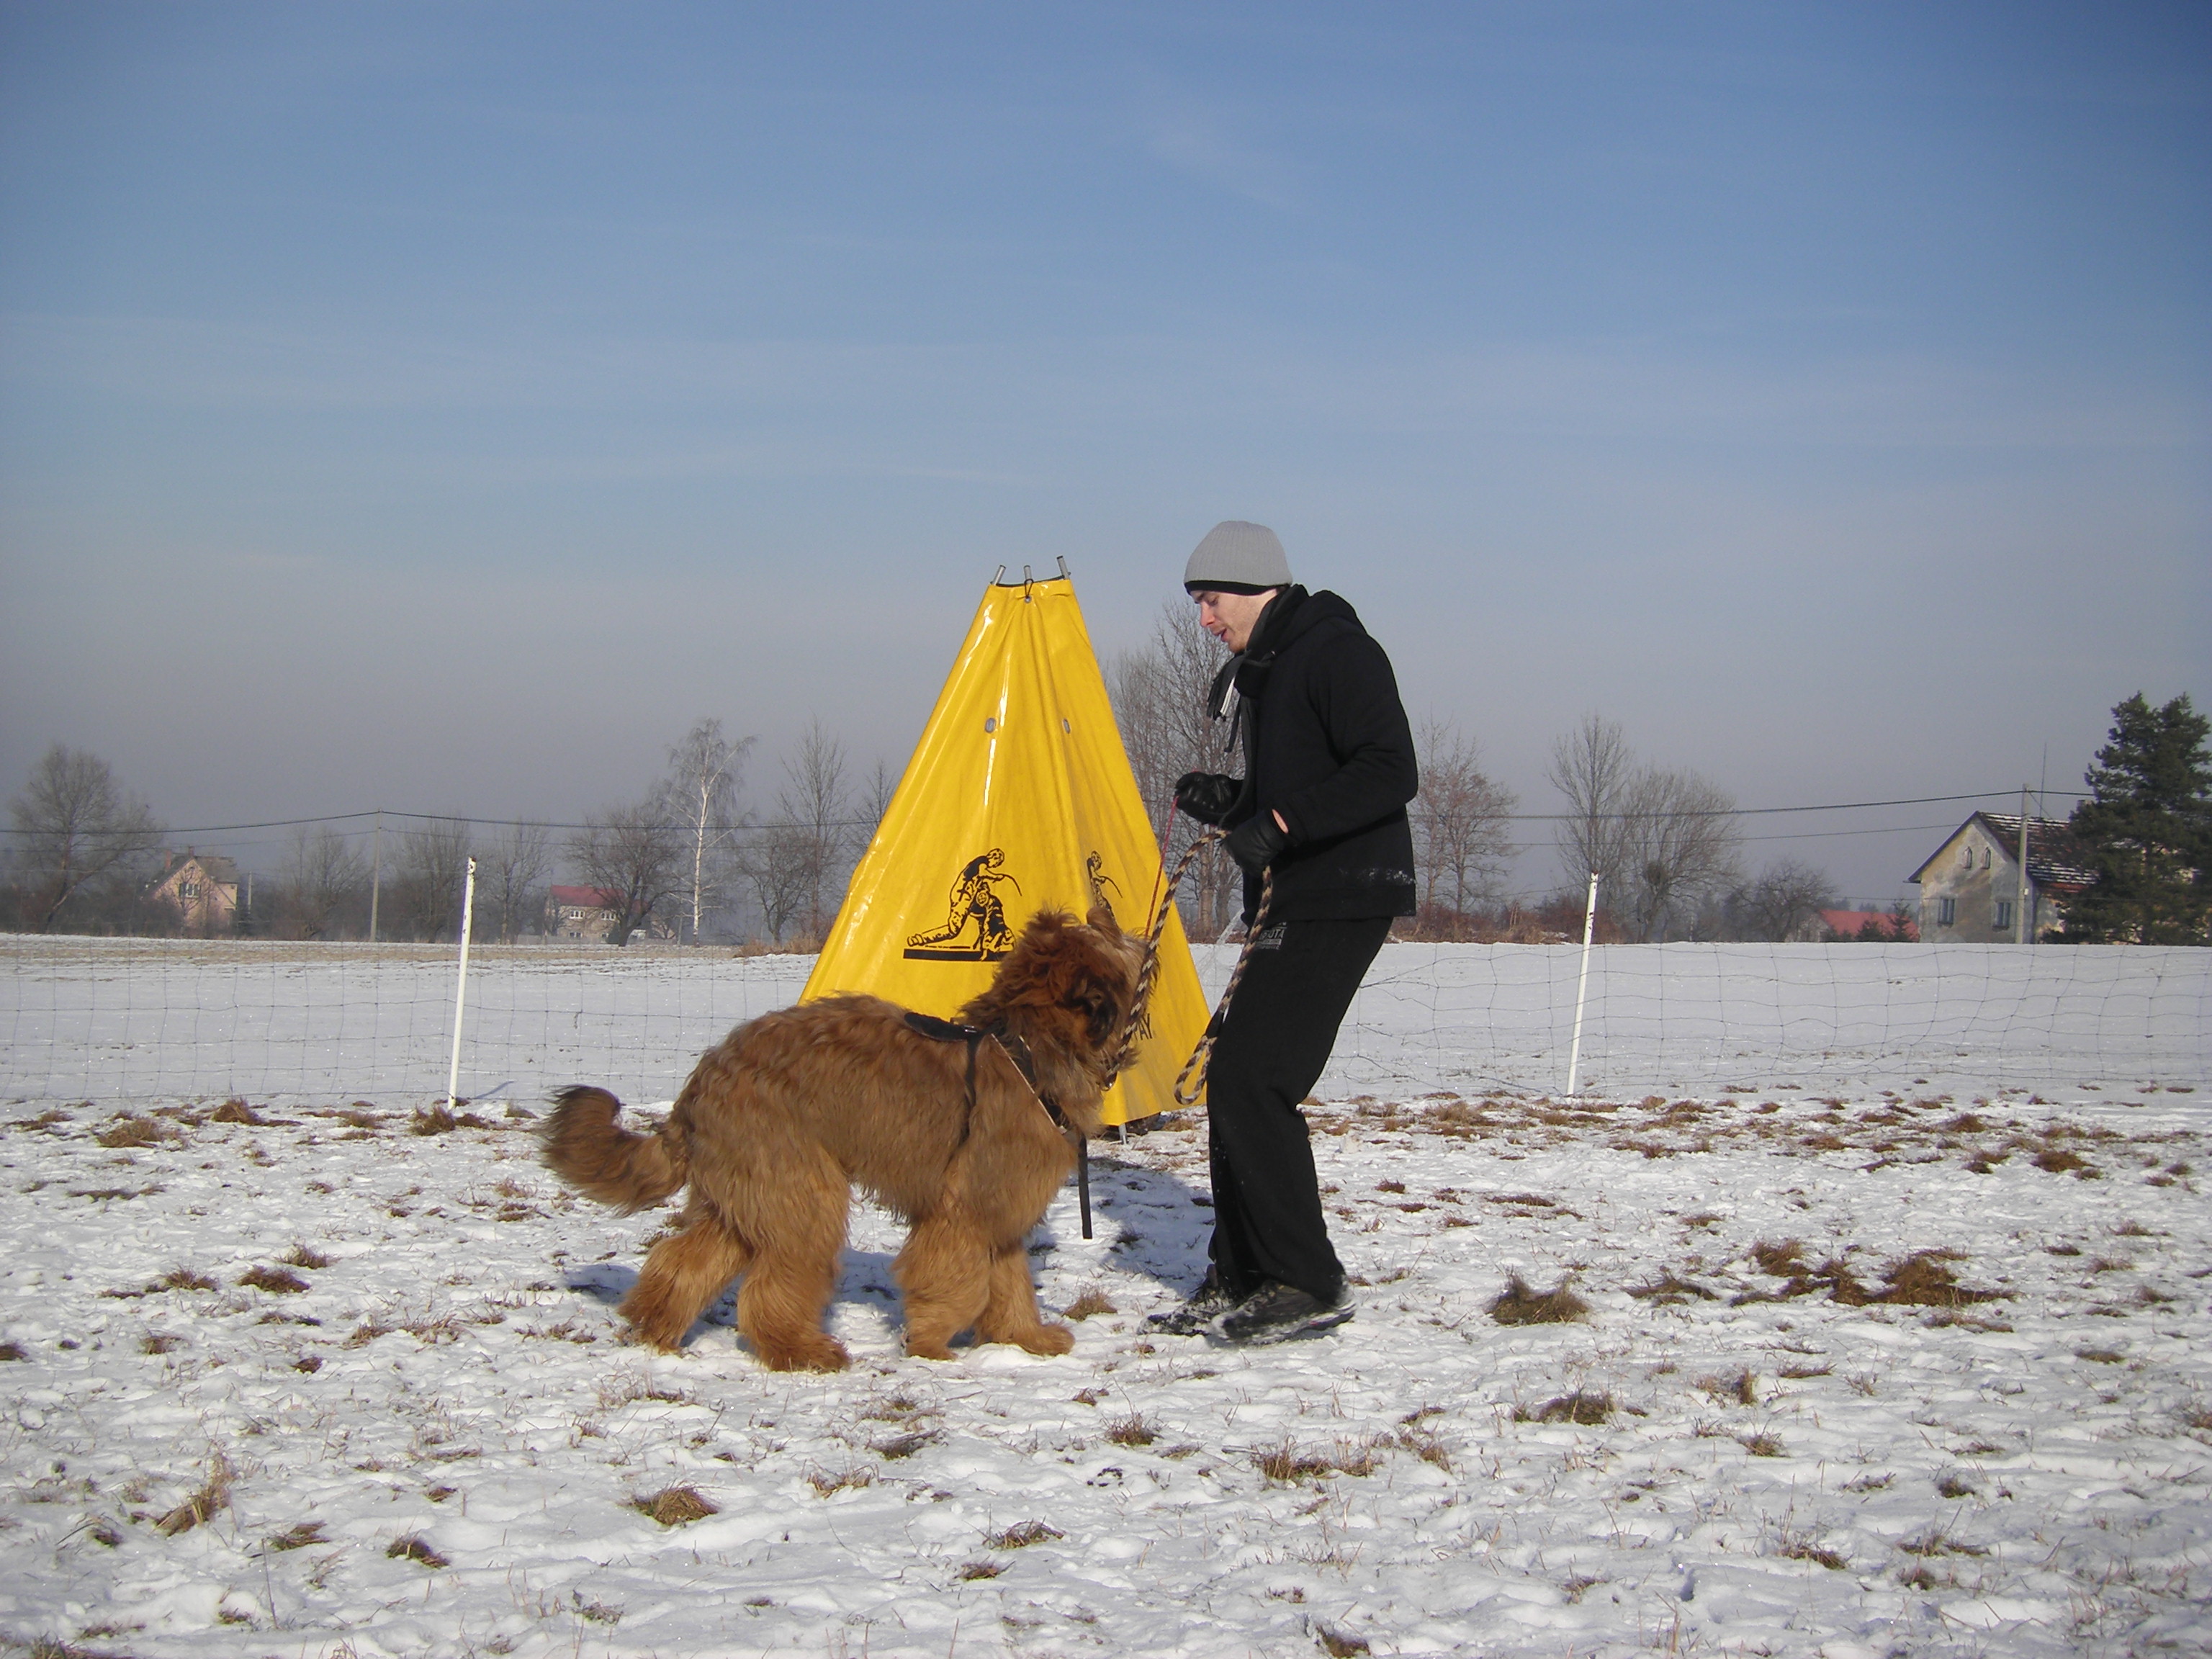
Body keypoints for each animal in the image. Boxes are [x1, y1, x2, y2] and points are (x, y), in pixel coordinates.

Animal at [544, 902, 1150, 1371]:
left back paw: (657, 1331)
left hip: (743, 1197)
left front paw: (1026, 1338)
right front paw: (931, 1343)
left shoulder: (1000, 1207)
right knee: (772, 1285)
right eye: (1114, 941)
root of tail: (701, 1082)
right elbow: (956, 1279)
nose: (1128, 925)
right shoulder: (965, 1210)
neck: (1025, 1048)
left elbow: (1009, 1282)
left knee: (685, 1262)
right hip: (799, 1189)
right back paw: (801, 1349)